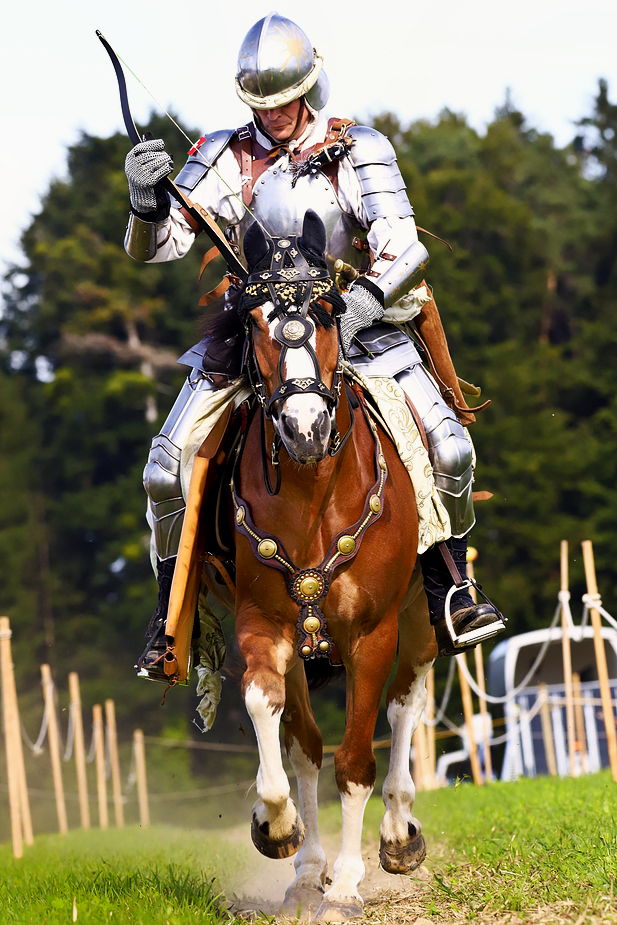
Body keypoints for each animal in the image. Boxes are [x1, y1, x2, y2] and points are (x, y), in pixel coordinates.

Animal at [200, 211, 438, 922]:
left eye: (331, 313)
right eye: (253, 321)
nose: (304, 427)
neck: (312, 490)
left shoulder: (373, 634)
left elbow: (356, 758)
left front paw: (350, 881)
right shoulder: (266, 627)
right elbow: (276, 720)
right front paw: (279, 830)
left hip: (419, 619)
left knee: (407, 702)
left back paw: (398, 832)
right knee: (305, 741)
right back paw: (308, 868)